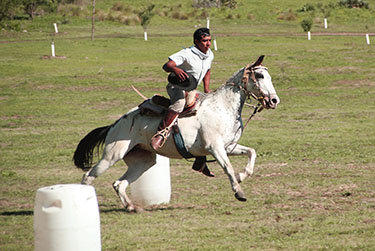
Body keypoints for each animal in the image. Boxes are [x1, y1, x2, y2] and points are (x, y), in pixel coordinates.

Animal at [74, 55, 280, 212]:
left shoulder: (229, 146)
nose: (274, 100)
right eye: (260, 75)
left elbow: (251, 152)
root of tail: (115, 124)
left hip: (143, 161)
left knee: (119, 184)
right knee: (88, 177)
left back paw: (132, 207)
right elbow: (228, 167)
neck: (223, 106)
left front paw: (242, 176)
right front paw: (239, 192)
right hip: (112, 155)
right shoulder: (215, 147)